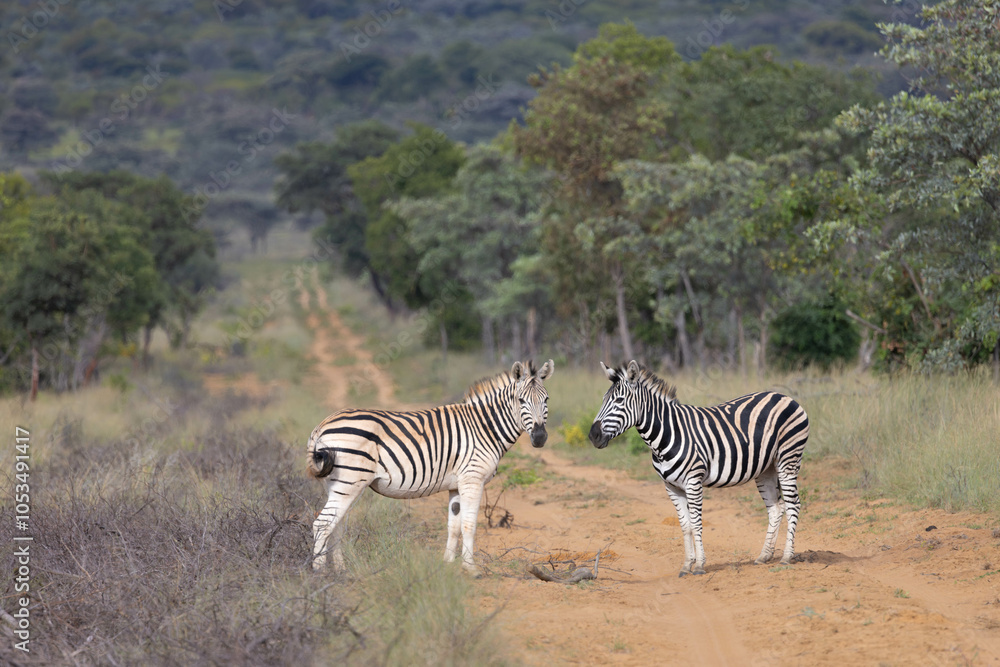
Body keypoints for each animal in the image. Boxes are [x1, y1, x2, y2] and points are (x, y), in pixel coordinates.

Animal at [307, 359, 554, 576]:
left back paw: (341, 570)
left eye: (547, 400)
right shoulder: (472, 479)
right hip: (349, 481)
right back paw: (320, 574)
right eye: (521, 400)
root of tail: (322, 425)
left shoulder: (455, 485)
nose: (540, 438)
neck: (484, 427)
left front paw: (448, 564)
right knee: (322, 524)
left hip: (340, 484)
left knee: (336, 526)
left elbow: (454, 526)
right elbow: (469, 524)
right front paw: (470, 569)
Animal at [588, 360, 809, 576]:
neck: (666, 435)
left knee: (793, 505)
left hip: (788, 458)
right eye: (603, 400)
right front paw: (687, 565)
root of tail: (784, 396)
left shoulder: (693, 482)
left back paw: (786, 557)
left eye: (619, 401)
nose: (593, 436)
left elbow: (696, 524)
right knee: (776, 508)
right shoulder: (671, 487)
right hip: (766, 468)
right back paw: (764, 556)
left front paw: (700, 566)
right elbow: (685, 526)